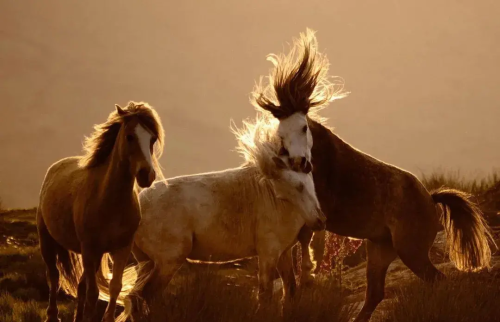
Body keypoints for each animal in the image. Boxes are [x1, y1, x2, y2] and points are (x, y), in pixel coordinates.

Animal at [38, 102, 166, 322]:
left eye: (152, 139)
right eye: (129, 136)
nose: (146, 175)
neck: (109, 203)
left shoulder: (121, 249)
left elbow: (114, 287)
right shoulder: (90, 249)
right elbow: (93, 293)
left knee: (80, 286)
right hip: (48, 241)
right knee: (53, 277)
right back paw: (52, 315)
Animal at [96, 112, 328, 320]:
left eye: (311, 183)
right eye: (297, 186)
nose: (320, 221)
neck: (276, 198)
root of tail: (138, 204)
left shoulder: (283, 254)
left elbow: (290, 291)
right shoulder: (268, 254)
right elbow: (265, 296)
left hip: (146, 262)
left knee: (136, 300)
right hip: (167, 262)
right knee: (143, 298)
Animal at [258, 28, 496, 320]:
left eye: (303, 127)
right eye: (280, 132)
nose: (300, 162)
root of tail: (431, 199)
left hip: (411, 250)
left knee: (435, 280)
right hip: (381, 249)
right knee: (376, 293)